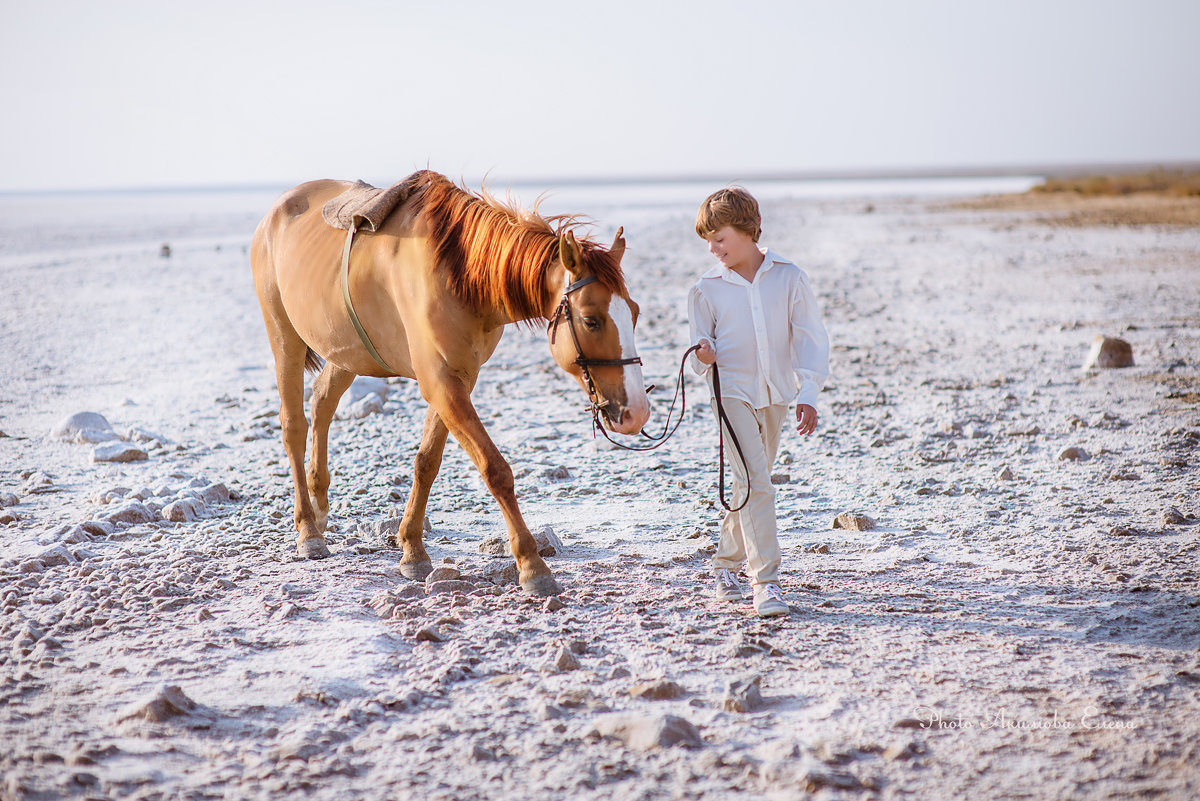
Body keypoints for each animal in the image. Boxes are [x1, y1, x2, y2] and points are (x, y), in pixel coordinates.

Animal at [247, 170, 652, 594]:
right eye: (591, 320)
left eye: (635, 312)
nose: (637, 412)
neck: (459, 274)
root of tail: (276, 212)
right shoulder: (441, 382)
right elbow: (495, 470)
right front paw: (532, 565)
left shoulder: (458, 379)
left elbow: (427, 462)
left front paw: (412, 549)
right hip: (285, 339)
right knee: (294, 426)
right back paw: (308, 529)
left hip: (347, 353)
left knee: (322, 403)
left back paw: (320, 505)